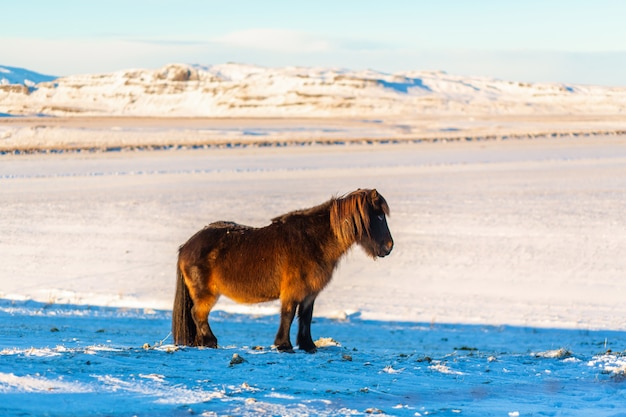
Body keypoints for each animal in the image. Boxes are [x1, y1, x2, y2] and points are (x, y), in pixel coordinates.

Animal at [171, 188, 392, 352]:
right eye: (379, 216)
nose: (389, 247)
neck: (313, 241)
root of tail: (186, 246)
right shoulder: (292, 291)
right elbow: (288, 314)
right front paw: (284, 345)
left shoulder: (310, 293)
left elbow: (306, 317)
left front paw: (308, 346)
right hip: (206, 294)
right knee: (198, 314)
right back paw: (210, 341)